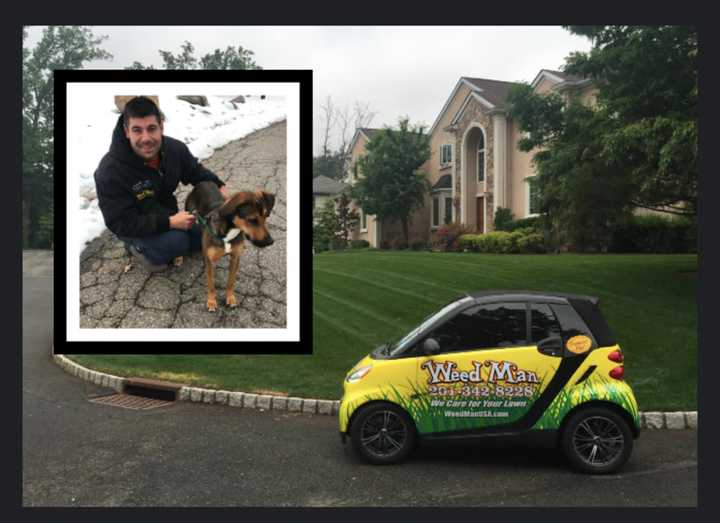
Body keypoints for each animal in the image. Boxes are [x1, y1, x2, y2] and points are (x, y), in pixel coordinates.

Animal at [186, 181, 276, 312]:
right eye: (252, 220)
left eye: (266, 216)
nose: (270, 241)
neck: (229, 231)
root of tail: (203, 182)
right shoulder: (210, 261)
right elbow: (211, 284)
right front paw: (211, 301)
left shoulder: (235, 258)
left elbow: (231, 281)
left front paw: (230, 298)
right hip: (188, 215)